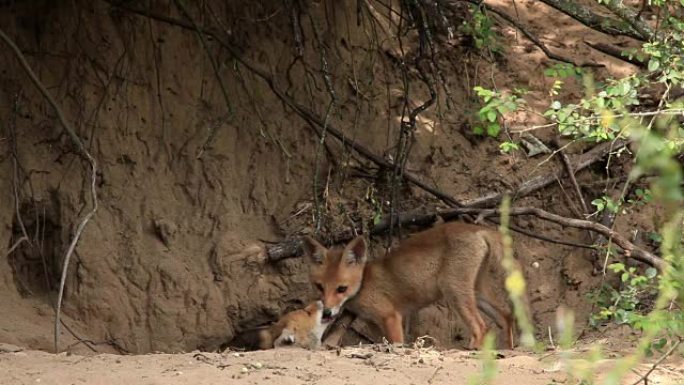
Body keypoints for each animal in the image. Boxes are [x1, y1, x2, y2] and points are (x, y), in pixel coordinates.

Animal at [302, 220, 520, 350]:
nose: (327, 312)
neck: (363, 284)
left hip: (454, 292)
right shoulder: (373, 323)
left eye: (341, 288)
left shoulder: (391, 316)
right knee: (506, 314)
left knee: (481, 326)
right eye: (319, 287)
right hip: (477, 293)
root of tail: (475, 228)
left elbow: (397, 343)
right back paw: (507, 350)